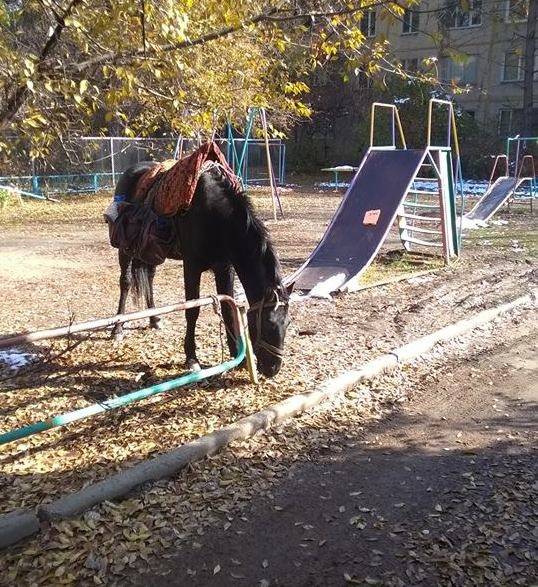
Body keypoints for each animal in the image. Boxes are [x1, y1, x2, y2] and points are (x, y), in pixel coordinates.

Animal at [109, 163, 292, 378]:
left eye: (287, 323)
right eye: (269, 324)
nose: (273, 368)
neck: (217, 218)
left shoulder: (224, 268)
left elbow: (227, 308)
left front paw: (235, 356)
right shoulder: (192, 266)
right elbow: (192, 310)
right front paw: (192, 358)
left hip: (150, 252)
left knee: (150, 279)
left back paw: (155, 320)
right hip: (125, 250)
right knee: (126, 282)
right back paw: (118, 328)